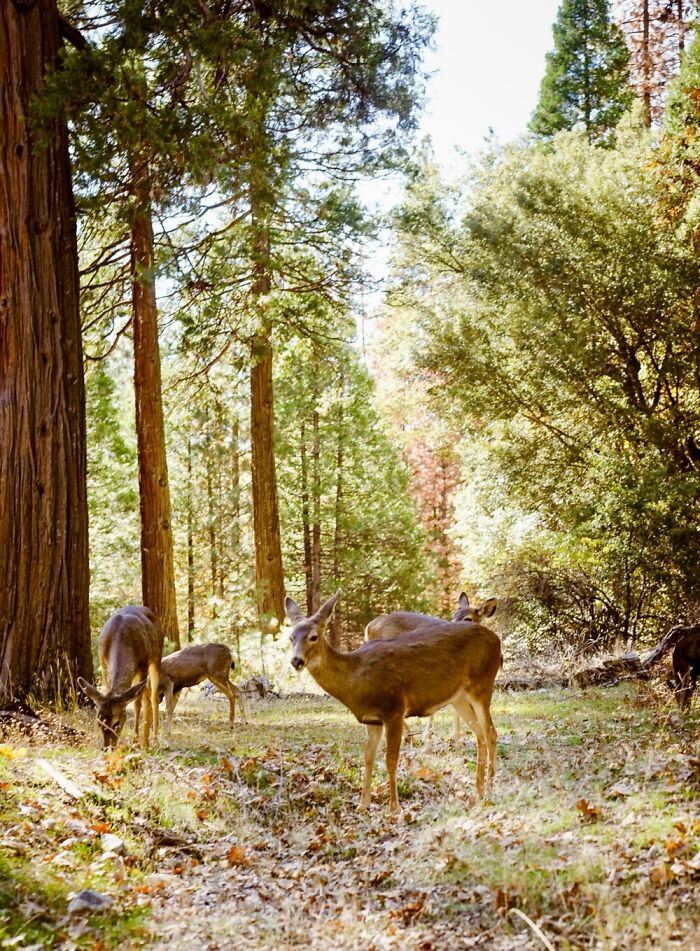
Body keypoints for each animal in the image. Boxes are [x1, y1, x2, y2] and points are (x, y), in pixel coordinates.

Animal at [77, 605, 163, 749]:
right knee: (147, 696)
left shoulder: (143, 664)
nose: (107, 748)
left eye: (116, 723)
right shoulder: (103, 664)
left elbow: (137, 704)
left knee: (153, 697)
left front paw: (137, 742)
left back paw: (153, 740)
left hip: (156, 658)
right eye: (99, 722)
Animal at [365, 593, 498, 744]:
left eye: (468, 618)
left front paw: (456, 740)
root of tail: (369, 626)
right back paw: (409, 737)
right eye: (454, 614)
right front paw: (429, 737)